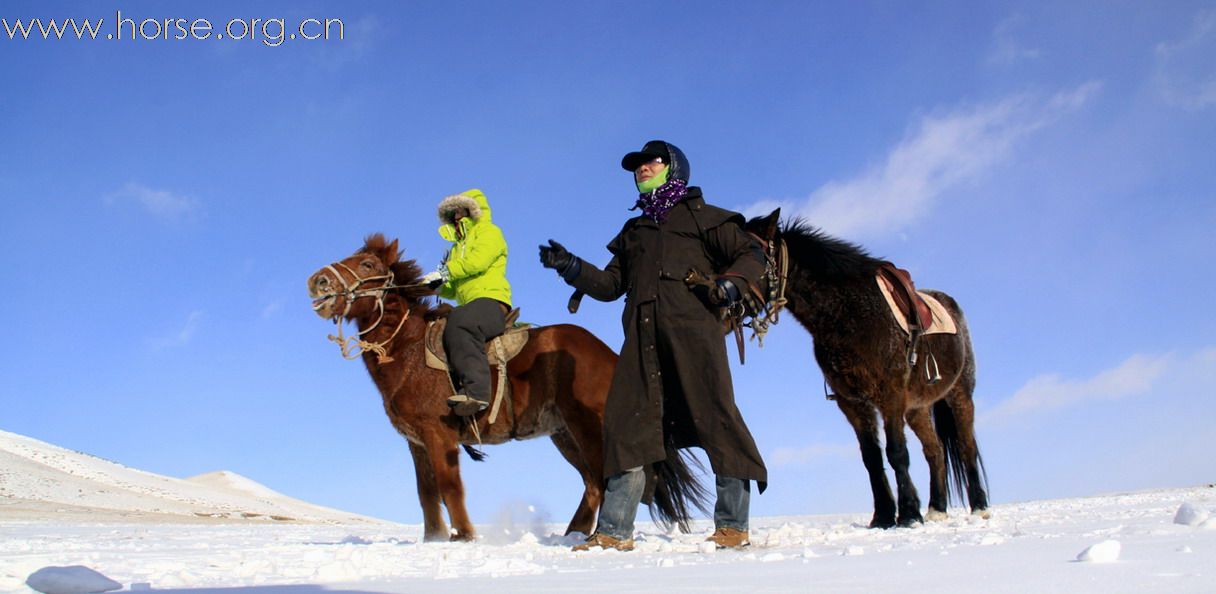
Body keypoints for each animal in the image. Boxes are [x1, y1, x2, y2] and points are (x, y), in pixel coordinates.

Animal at [304, 234, 617, 540]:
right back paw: (574, 534)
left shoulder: (438, 433)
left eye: (367, 264)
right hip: (564, 434)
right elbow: (427, 493)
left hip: (587, 426)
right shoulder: (416, 442)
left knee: (603, 478)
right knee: (592, 483)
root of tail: (609, 354)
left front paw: (462, 535)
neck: (407, 349)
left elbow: (449, 487)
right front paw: (434, 538)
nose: (317, 282)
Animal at [739, 210, 987, 525]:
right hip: (917, 409)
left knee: (967, 447)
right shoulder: (852, 403)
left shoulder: (890, 395)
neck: (849, 315)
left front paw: (908, 514)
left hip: (960, 395)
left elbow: (896, 452)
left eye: (748, 253)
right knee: (936, 450)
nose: (715, 294)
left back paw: (979, 506)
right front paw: (883, 516)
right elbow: (871, 458)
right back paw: (937, 508)